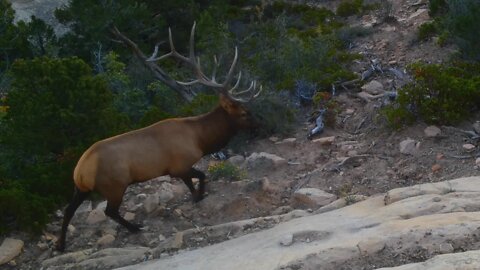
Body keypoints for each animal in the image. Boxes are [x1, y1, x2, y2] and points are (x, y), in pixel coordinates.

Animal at [57, 22, 262, 251]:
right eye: (244, 113)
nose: (260, 124)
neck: (200, 140)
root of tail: (80, 170)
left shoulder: (178, 169)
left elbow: (193, 181)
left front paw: (196, 197)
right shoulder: (178, 165)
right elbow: (200, 176)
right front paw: (199, 197)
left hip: (81, 188)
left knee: (69, 210)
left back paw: (61, 245)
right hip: (114, 185)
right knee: (109, 210)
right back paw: (135, 227)